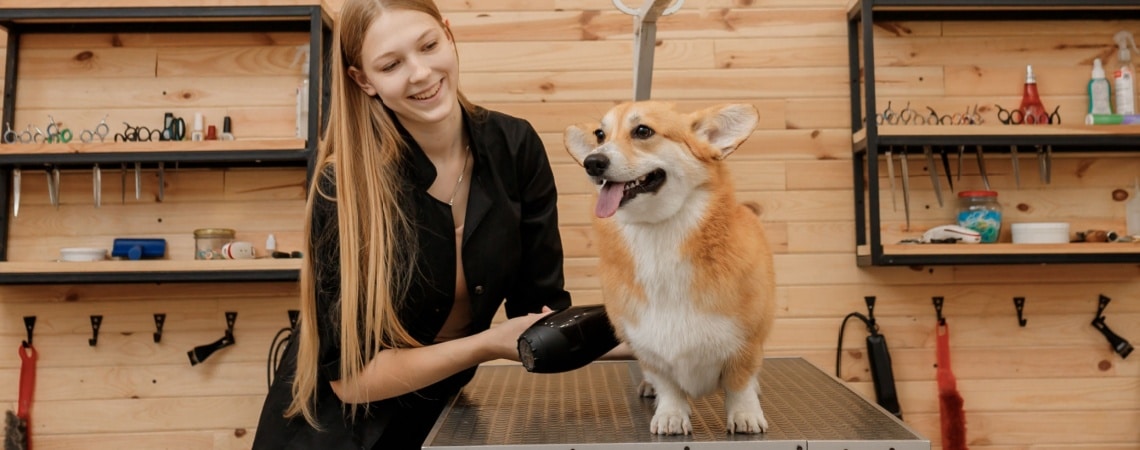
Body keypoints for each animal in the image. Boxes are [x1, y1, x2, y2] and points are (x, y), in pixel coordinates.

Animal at [565, 103, 779, 437]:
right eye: (600, 135)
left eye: (643, 131)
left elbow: (739, 382)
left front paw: (745, 415)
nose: (592, 162)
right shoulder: (649, 350)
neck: (658, 236)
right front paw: (670, 415)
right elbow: (669, 387)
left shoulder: (746, 341)